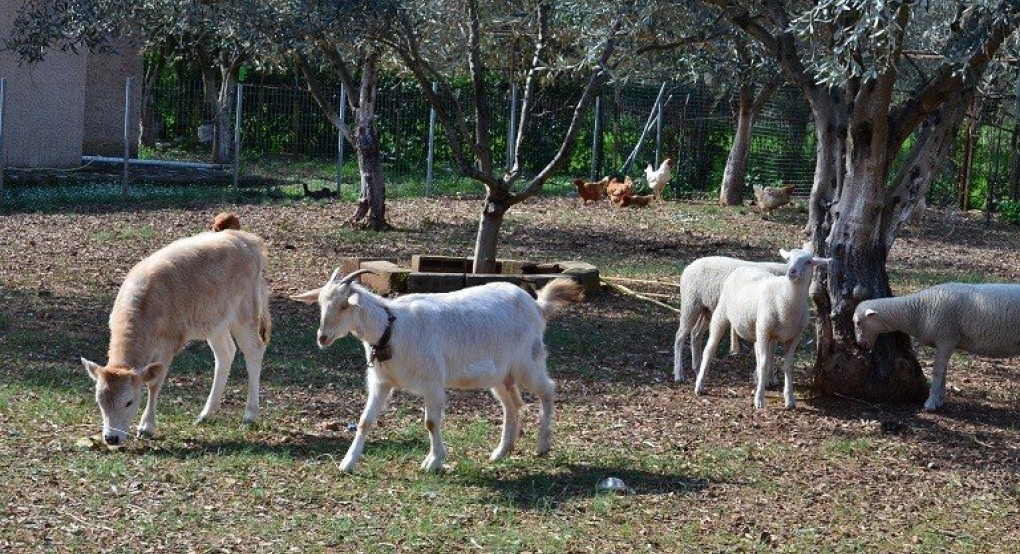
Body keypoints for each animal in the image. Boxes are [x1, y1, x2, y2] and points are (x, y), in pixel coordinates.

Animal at [291, 269, 587, 473]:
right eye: (321, 304)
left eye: (344, 305)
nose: (322, 338)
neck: (391, 328)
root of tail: (537, 306)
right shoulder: (382, 382)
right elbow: (365, 421)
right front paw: (347, 463)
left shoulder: (432, 381)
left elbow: (431, 422)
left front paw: (433, 461)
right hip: (500, 375)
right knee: (512, 405)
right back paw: (501, 451)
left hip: (528, 361)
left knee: (548, 390)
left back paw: (543, 445)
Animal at [693, 248, 828, 410]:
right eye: (788, 259)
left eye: (808, 262)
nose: (792, 272)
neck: (786, 299)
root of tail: (743, 268)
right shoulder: (764, 330)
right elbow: (764, 364)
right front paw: (759, 399)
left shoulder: (794, 336)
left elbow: (787, 366)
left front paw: (789, 399)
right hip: (722, 314)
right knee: (709, 349)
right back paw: (699, 385)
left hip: (758, 327)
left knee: (758, 351)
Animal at [852, 283, 1020, 410]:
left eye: (858, 322)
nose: (860, 345)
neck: (918, 311)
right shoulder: (948, 342)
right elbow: (944, 371)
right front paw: (940, 399)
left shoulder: (946, 337)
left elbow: (937, 372)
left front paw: (931, 403)